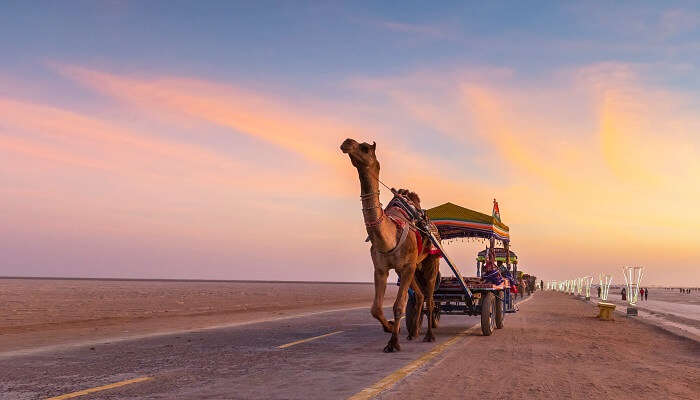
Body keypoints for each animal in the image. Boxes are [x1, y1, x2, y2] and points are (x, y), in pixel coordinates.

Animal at [340, 139, 438, 352]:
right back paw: (413, 332)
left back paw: (429, 335)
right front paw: (391, 328)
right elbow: (375, 308)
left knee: (430, 297)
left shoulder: (407, 266)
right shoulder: (381, 268)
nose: (346, 142)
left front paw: (393, 343)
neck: (389, 237)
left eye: (365, 148)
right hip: (410, 268)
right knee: (420, 296)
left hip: (431, 261)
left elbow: (398, 305)